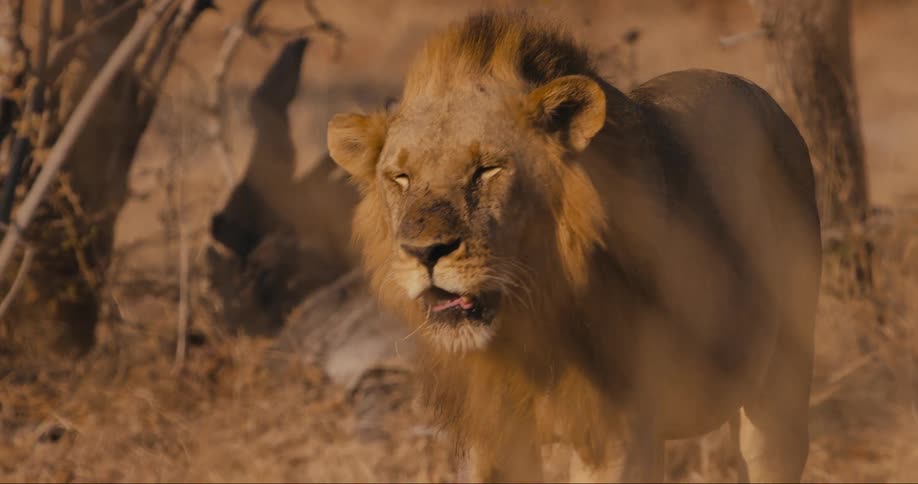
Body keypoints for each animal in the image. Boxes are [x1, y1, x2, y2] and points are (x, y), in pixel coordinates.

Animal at [326, 11, 821, 483]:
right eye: (401, 178)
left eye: (488, 169)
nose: (424, 253)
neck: (527, 321)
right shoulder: (489, 433)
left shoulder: (616, 435)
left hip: (780, 391)